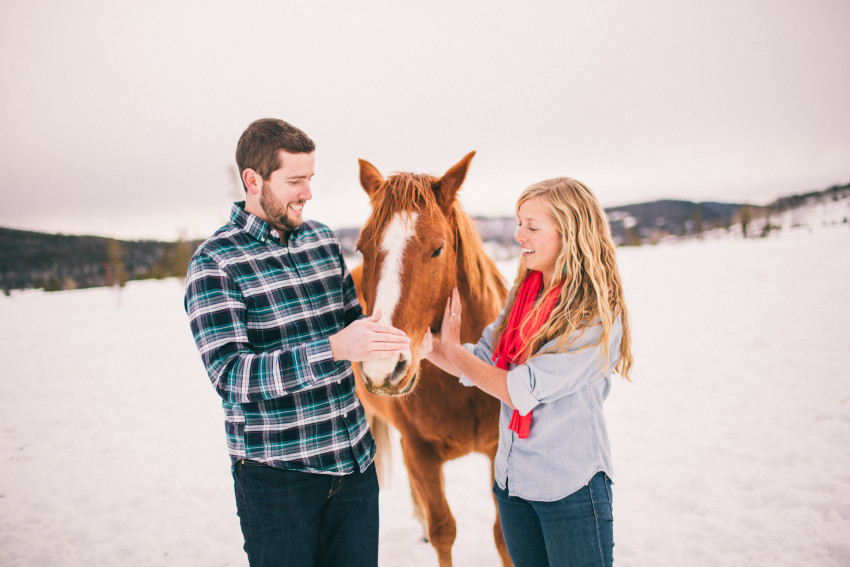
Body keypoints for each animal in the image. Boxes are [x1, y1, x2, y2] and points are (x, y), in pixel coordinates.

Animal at [350, 152, 510, 567]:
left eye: (437, 249)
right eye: (361, 248)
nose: (381, 368)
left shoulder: (498, 450)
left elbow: (503, 535)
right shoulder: (420, 452)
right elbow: (444, 531)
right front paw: (431, 528)